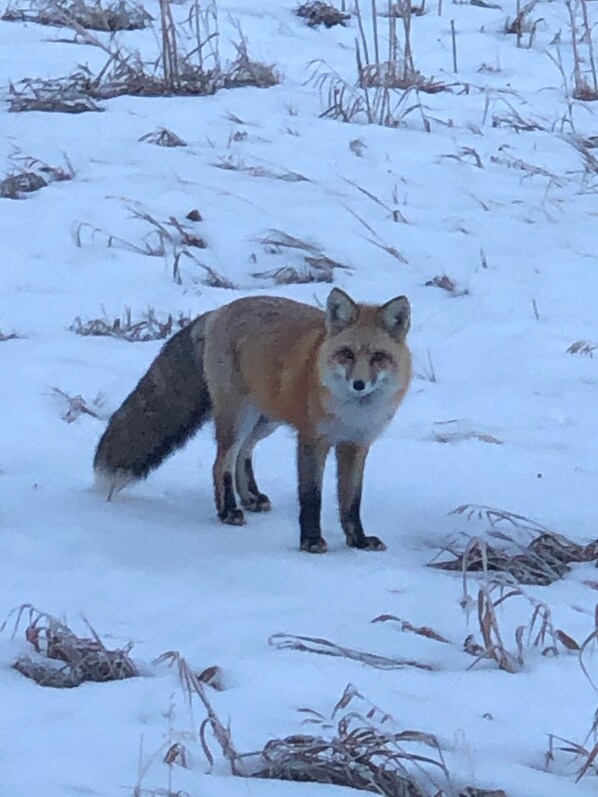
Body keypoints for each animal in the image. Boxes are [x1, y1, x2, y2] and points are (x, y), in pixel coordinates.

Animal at [94, 288, 412, 553]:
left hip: (265, 419)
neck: (352, 412)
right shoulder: (312, 440)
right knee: (222, 461)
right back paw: (228, 511)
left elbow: (351, 502)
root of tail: (219, 311)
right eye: (346, 354)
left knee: (242, 453)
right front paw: (310, 541)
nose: (359, 384)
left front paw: (358, 540)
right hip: (239, 417)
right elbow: (311, 497)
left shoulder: (356, 445)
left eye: (379, 357)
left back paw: (250, 497)